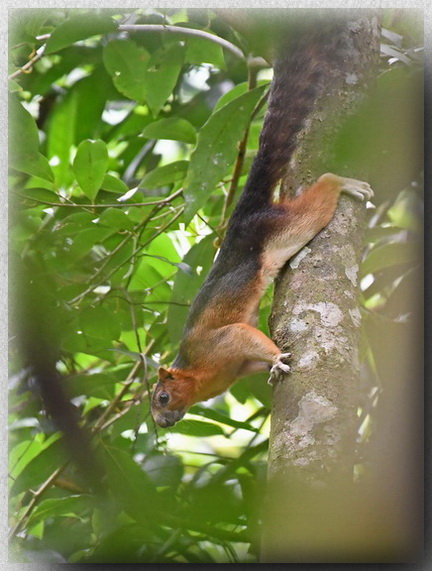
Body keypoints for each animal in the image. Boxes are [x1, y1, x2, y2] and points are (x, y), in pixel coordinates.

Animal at [151, 24, 372, 426]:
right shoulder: (238, 367)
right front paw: (271, 365)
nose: (162, 422)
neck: (196, 374)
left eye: (162, 396)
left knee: (318, 199)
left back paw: (342, 183)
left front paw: (277, 358)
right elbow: (254, 356)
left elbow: (243, 335)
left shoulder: (221, 342)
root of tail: (242, 219)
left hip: (281, 229)